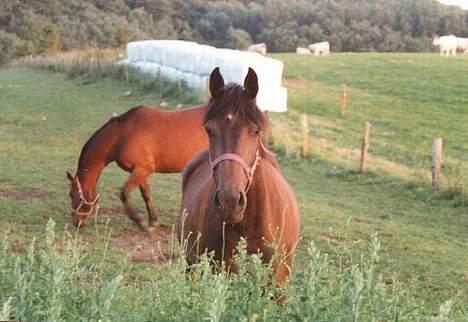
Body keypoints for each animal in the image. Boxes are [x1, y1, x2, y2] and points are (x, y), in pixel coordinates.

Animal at [67, 104, 208, 229]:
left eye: (73, 194)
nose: (77, 222)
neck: (123, 134)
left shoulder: (142, 170)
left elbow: (124, 193)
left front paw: (139, 221)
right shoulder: (141, 171)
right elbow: (146, 195)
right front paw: (153, 221)